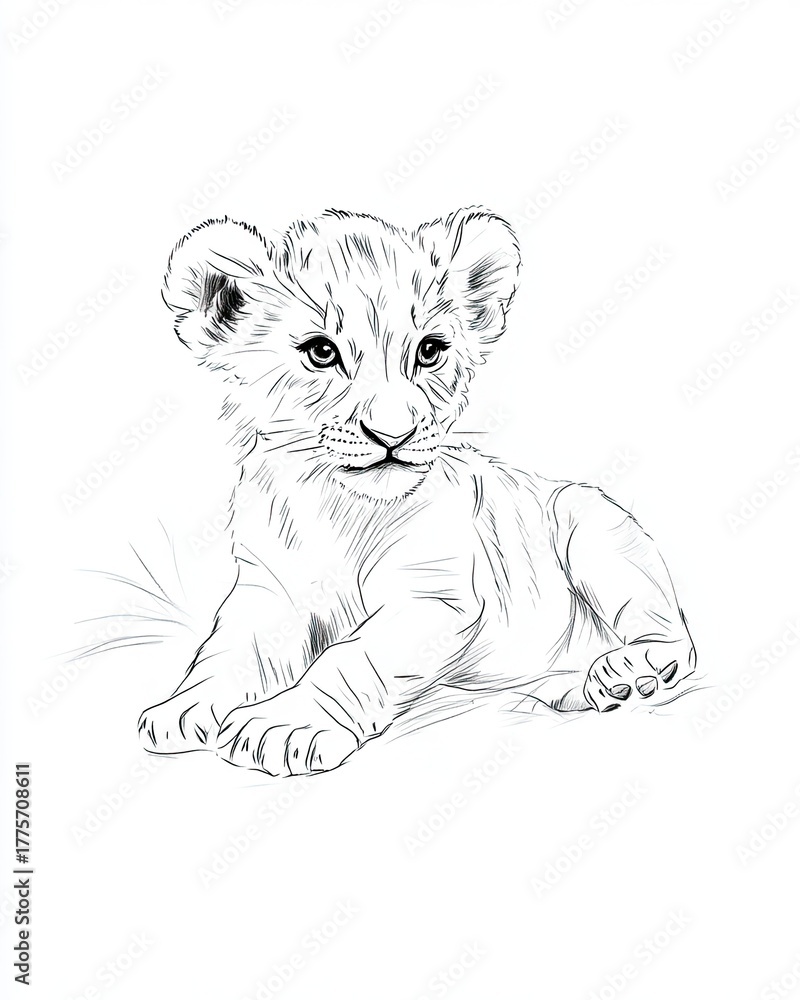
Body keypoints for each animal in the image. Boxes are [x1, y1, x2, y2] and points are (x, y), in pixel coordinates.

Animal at [138, 207, 697, 776]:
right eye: (321, 351)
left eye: (430, 350)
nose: (393, 434)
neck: (338, 509)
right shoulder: (267, 590)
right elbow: (229, 650)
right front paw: (183, 708)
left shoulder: (434, 596)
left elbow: (351, 657)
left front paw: (284, 726)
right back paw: (589, 687)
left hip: (593, 525)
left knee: (671, 635)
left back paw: (630, 671)